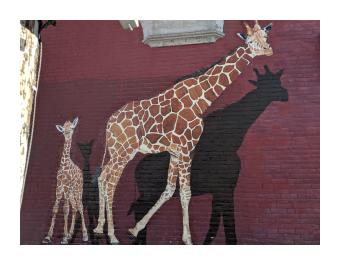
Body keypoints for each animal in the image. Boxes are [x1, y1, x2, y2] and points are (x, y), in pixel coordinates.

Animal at [93, 20, 274, 243]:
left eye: (265, 37)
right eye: (250, 41)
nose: (268, 49)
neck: (200, 100)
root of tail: (109, 123)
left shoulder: (175, 151)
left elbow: (170, 190)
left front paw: (135, 228)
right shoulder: (188, 148)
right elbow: (186, 192)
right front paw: (188, 239)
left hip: (116, 151)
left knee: (102, 177)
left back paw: (99, 228)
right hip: (124, 152)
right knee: (111, 183)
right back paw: (112, 235)